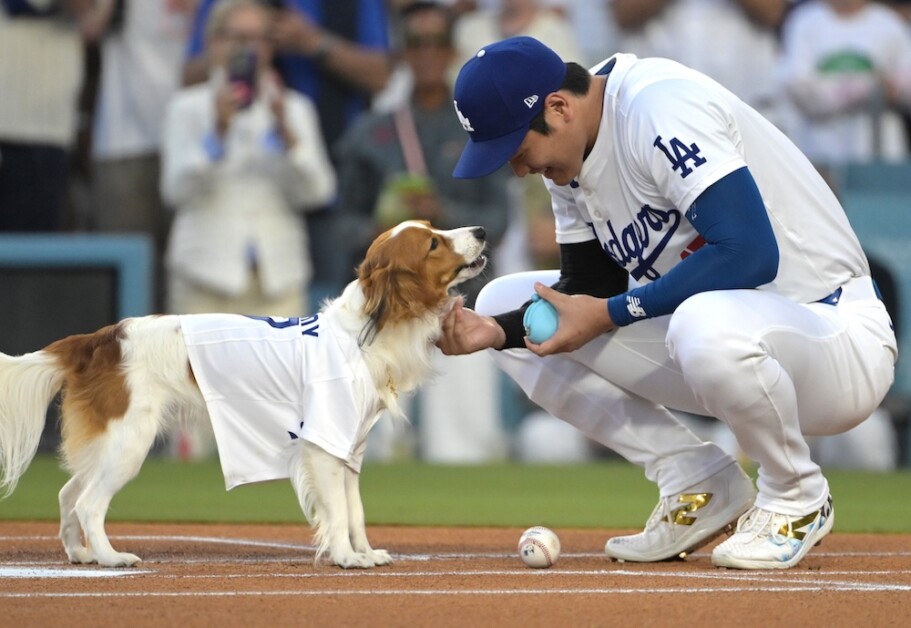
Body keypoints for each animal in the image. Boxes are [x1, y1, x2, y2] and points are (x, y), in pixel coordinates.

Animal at [0, 221, 488, 568]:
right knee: (88, 504)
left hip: (110, 445)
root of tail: (100, 339)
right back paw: (109, 557)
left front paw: (364, 552)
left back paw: (79, 554)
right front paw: (346, 558)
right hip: (130, 443)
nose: (482, 231)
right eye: (433, 244)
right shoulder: (325, 447)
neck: (363, 331)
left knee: (68, 495)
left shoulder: (349, 449)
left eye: (435, 230)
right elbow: (337, 510)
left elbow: (355, 510)